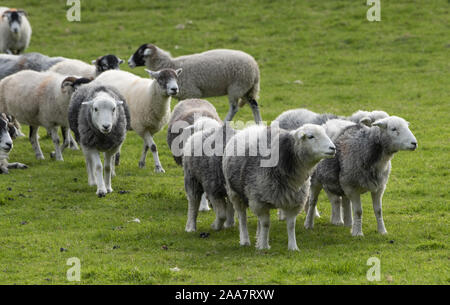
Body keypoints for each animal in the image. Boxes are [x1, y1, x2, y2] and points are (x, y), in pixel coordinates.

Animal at [126, 43, 262, 123]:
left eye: (140, 52)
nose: (129, 62)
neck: (170, 64)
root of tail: (255, 67)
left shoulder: (192, 92)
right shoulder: (183, 95)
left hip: (236, 87)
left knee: (234, 108)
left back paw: (225, 123)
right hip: (247, 88)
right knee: (254, 105)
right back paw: (258, 123)